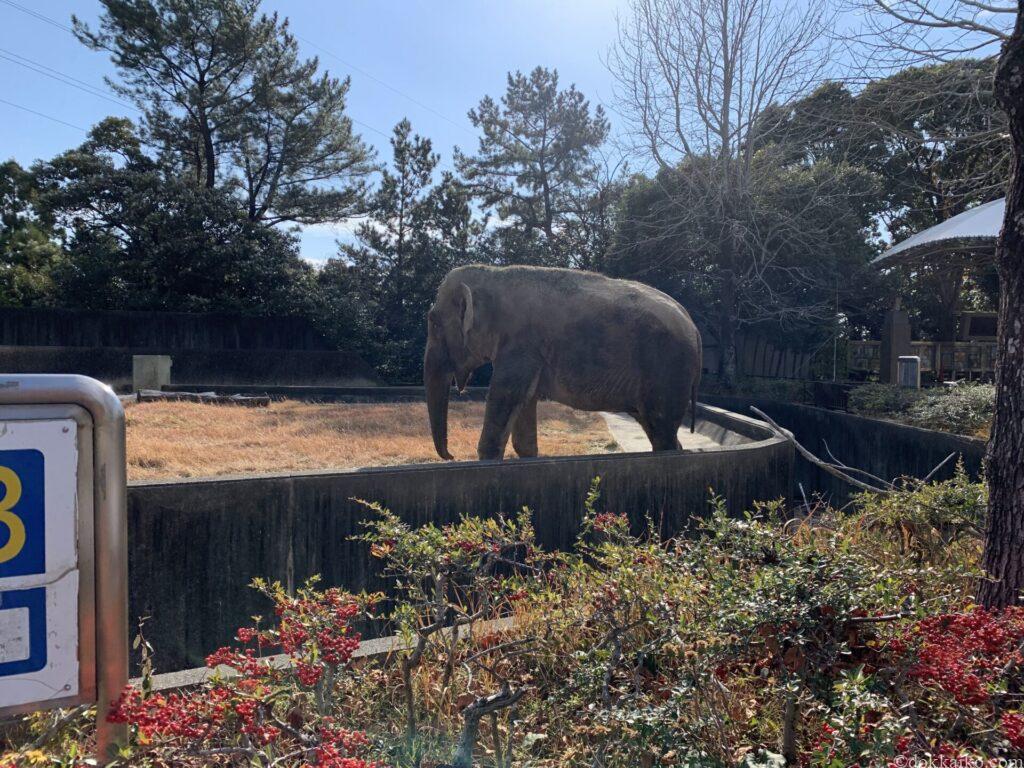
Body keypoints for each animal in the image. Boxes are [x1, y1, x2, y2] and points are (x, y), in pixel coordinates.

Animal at [425, 264, 704, 460]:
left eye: (434, 323)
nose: (451, 456)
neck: (494, 272)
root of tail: (694, 326)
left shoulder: (521, 344)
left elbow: (506, 396)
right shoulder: (526, 350)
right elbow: (525, 409)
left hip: (669, 368)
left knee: (662, 427)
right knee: (657, 429)